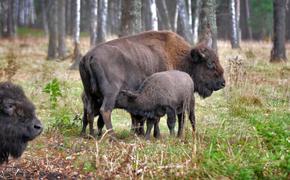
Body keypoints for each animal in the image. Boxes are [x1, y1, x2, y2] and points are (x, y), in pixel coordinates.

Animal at [80, 30, 227, 138]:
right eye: (210, 64)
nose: (222, 83)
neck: (181, 58)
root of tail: (89, 56)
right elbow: (156, 118)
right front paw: (156, 135)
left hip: (89, 94)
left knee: (89, 112)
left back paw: (90, 135)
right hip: (110, 94)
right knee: (105, 110)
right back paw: (112, 136)